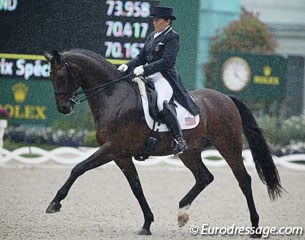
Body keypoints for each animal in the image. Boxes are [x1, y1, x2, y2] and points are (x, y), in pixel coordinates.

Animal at [44, 48, 282, 236]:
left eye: (61, 76)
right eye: (50, 76)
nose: (64, 108)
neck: (114, 97)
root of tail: (226, 98)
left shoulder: (112, 148)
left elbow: (78, 168)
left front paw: (55, 203)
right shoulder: (121, 155)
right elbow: (136, 187)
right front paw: (147, 224)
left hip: (228, 146)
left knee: (244, 180)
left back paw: (255, 228)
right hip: (190, 152)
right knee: (205, 177)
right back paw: (182, 212)